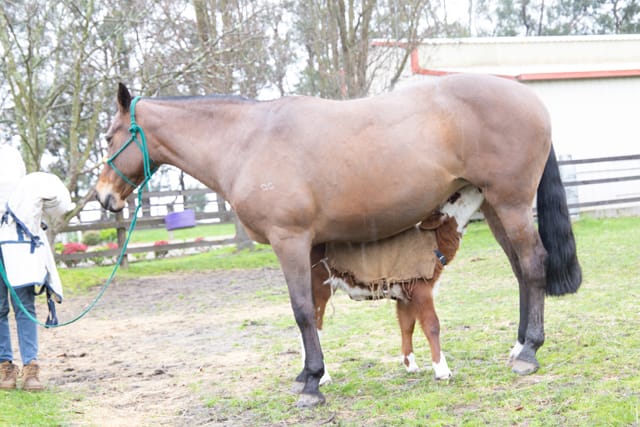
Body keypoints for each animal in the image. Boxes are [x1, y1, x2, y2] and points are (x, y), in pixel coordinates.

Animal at [308, 186, 484, 385]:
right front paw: (442, 370)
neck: (433, 241)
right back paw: (323, 377)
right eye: (454, 196)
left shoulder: (404, 293)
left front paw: (411, 365)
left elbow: (407, 325)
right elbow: (432, 325)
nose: (479, 187)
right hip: (319, 286)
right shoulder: (421, 288)